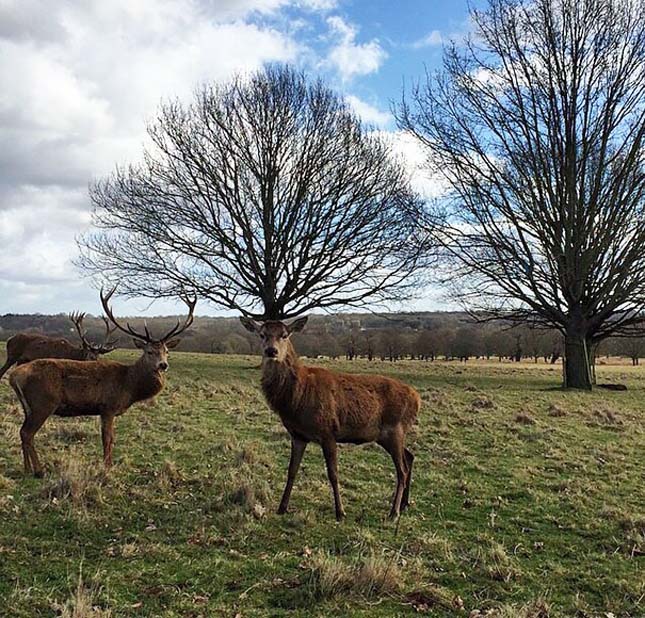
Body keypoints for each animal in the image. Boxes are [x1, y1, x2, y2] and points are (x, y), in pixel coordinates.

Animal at [8, 288, 195, 476]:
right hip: (43, 402)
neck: (129, 385)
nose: (163, 365)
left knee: (23, 432)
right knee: (27, 433)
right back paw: (39, 471)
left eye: (167, 351)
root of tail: (14, 376)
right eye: (149, 351)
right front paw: (107, 467)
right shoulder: (108, 407)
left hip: (29, 406)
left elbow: (110, 438)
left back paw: (27, 468)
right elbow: (108, 438)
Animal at [239, 316, 420, 516]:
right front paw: (282, 507)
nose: (271, 351)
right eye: (262, 334)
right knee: (409, 457)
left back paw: (394, 512)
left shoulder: (328, 431)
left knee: (402, 470)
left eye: (284, 335)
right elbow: (292, 470)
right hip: (388, 435)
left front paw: (340, 512)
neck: (298, 397)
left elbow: (333, 474)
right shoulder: (298, 435)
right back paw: (404, 504)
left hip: (395, 428)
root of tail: (417, 399)